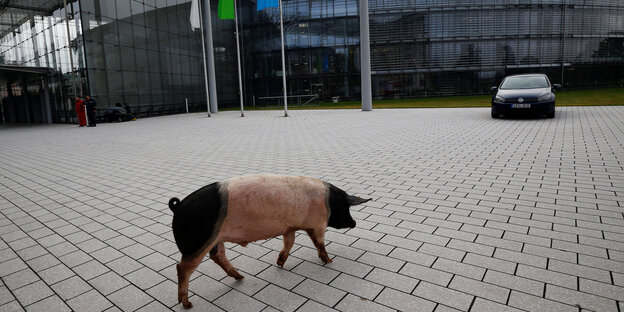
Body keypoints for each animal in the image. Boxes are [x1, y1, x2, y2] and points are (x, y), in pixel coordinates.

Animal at [168, 174, 370, 308]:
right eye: (346, 207)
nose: (354, 223)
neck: (329, 202)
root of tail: (177, 208)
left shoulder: (289, 227)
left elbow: (289, 242)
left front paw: (280, 263)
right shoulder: (318, 224)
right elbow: (319, 243)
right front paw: (329, 261)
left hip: (216, 239)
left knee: (217, 256)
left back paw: (241, 277)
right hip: (197, 243)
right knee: (182, 268)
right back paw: (187, 304)